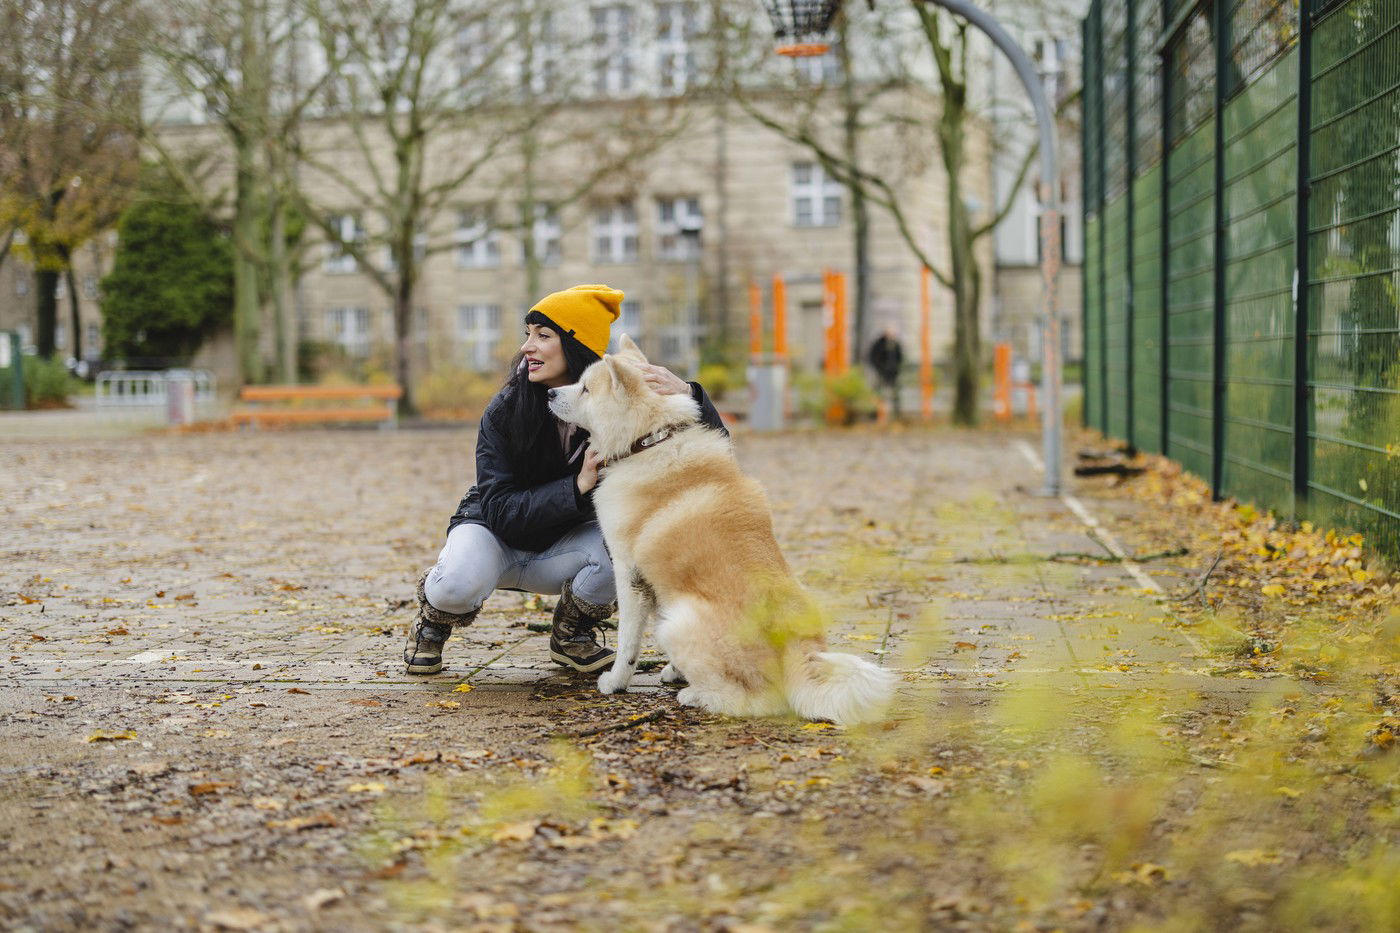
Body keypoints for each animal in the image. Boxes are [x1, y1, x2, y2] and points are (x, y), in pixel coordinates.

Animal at [546, 336, 896, 728]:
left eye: (586, 388)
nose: (549, 392)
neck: (651, 440)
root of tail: (796, 651)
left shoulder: (628, 575)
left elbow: (628, 643)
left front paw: (616, 682)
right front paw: (673, 670)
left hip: (676, 621)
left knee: (754, 701)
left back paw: (695, 695)